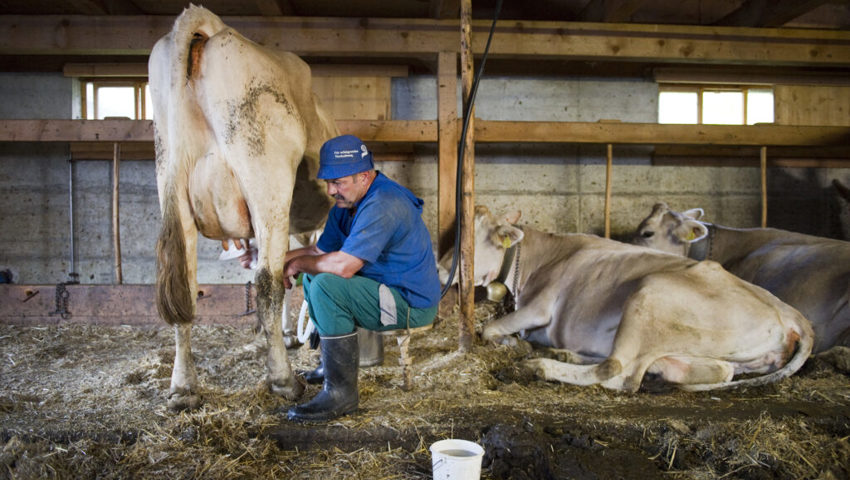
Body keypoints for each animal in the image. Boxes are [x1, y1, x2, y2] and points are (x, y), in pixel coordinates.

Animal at [151, 4, 336, 408]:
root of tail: (213, 32)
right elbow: (296, 275)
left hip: (170, 182)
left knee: (185, 288)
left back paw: (183, 388)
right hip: (266, 177)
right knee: (268, 282)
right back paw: (284, 381)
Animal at [440, 205, 812, 390]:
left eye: (467, 240)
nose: (441, 268)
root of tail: (793, 315)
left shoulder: (539, 307)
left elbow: (489, 330)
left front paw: (512, 345)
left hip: (648, 295)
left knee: (618, 372)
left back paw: (539, 364)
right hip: (710, 354)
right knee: (717, 371)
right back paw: (562, 353)